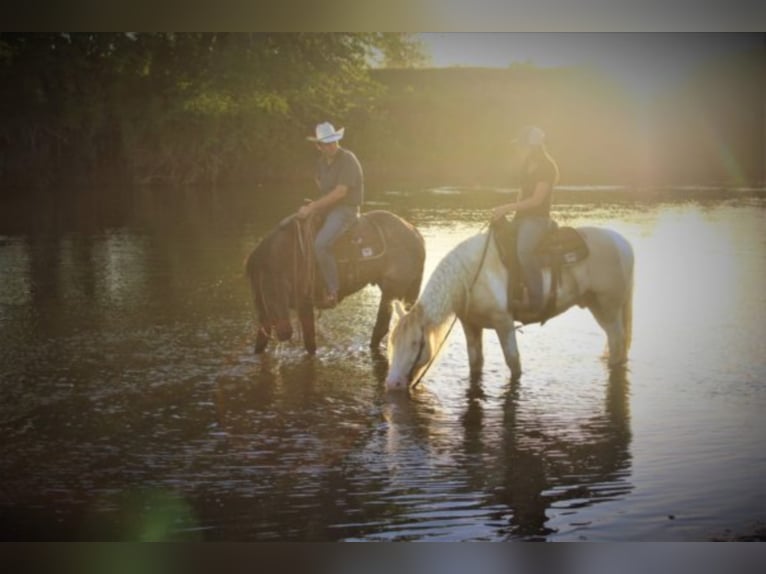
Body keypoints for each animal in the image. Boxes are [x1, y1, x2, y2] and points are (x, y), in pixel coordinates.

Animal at [246, 212, 426, 356]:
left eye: (278, 281)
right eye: (260, 287)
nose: (284, 332)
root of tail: (415, 233)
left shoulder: (304, 305)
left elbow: (310, 344)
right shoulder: (266, 315)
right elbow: (259, 345)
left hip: (392, 289)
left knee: (381, 327)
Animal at [384, 226, 636, 392]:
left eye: (415, 343)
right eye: (392, 342)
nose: (392, 383)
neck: (471, 275)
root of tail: (623, 243)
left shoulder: (503, 323)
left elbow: (513, 362)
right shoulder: (471, 324)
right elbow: (475, 361)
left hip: (608, 308)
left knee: (616, 343)